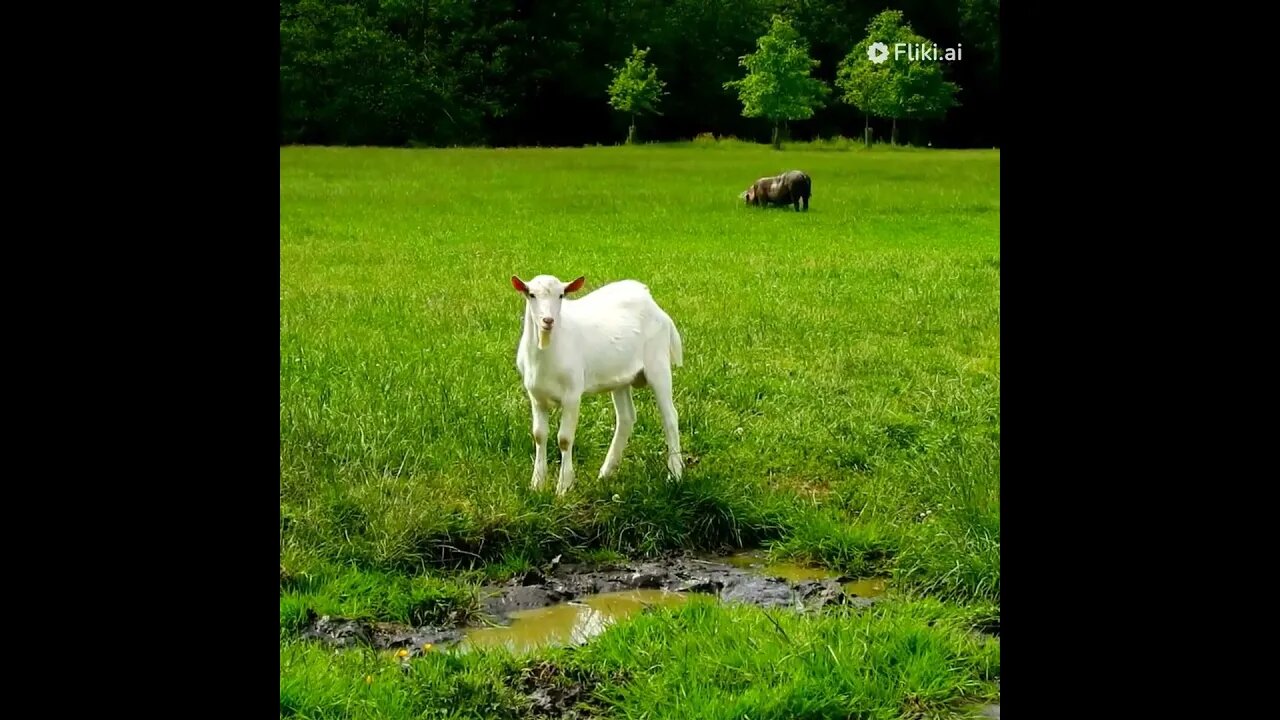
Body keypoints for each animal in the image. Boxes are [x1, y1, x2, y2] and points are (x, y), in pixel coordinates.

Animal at [512, 271, 691, 497]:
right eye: (531, 294)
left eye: (561, 295)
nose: (548, 320)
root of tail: (655, 306)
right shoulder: (536, 396)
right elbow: (539, 435)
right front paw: (537, 484)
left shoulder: (572, 394)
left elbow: (564, 439)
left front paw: (563, 487)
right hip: (620, 377)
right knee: (626, 417)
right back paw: (606, 472)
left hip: (658, 363)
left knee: (670, 417)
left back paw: (675, 474)